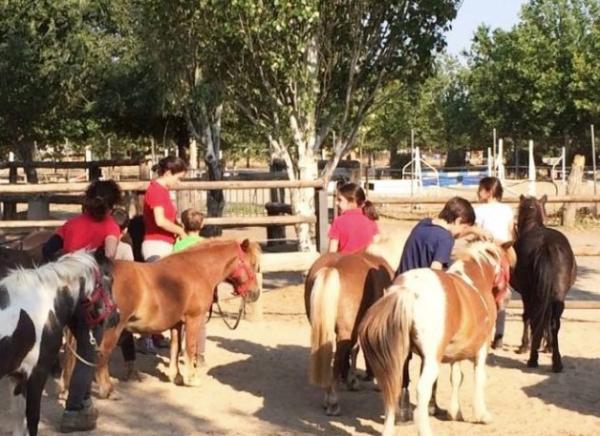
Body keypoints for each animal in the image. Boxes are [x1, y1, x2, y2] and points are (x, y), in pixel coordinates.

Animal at [0, 249, 115, 436]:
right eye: (110, 280)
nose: (116, 316)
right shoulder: (37, 373)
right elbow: (32, 417)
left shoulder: (16, 376)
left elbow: (18, 417)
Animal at [94, 238, 260, 398]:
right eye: (252, 264)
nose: (255, 294)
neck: (198, 270)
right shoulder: (194, 319)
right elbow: (190, 348)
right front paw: (192, 379)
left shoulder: (177, 324)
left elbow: (176, 348)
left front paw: (177, 376)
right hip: (113, 328)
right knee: (103, 354)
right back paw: (107, 390)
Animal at [304, 249, 394, 416]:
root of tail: (332, 267)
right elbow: (357, 349)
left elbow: (354, 349)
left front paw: (352, 380)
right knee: (338, 359)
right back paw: (333, 402)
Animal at [358, 240, 512, 436]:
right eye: (507, 266)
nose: (507, 299)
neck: (476, 279)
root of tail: (408, 289)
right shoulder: (481, 348)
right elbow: (479, 377)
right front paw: (481, 414)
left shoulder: (456, 352)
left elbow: (456, 377)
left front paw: (455, 412)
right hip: (432, 359)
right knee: (422, 389)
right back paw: (425, 429)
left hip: (399, 355)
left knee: (392, 387)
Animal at [510, 197, 576, 372]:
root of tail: (546, 245)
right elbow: (545, 319)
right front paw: (548, 346)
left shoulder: (526, 294)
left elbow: (527, 317)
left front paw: (524, 346)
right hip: (557, 295)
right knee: (554, 323)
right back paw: (557, 362)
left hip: (530, 294)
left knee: (533, 318)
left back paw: (532, 358)